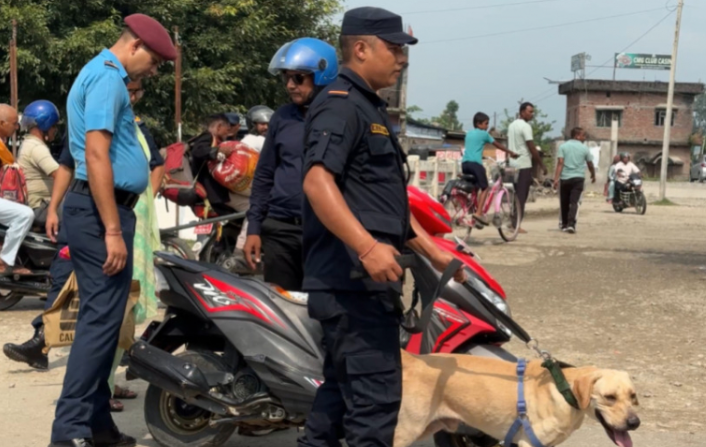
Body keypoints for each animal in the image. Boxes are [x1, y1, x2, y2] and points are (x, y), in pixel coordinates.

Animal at [396, 354, 640, 447]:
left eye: (633, 395)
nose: (635, 423)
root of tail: (413, 359)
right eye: (610, 397)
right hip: (405, 431)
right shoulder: (529, 443)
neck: (563, 389)